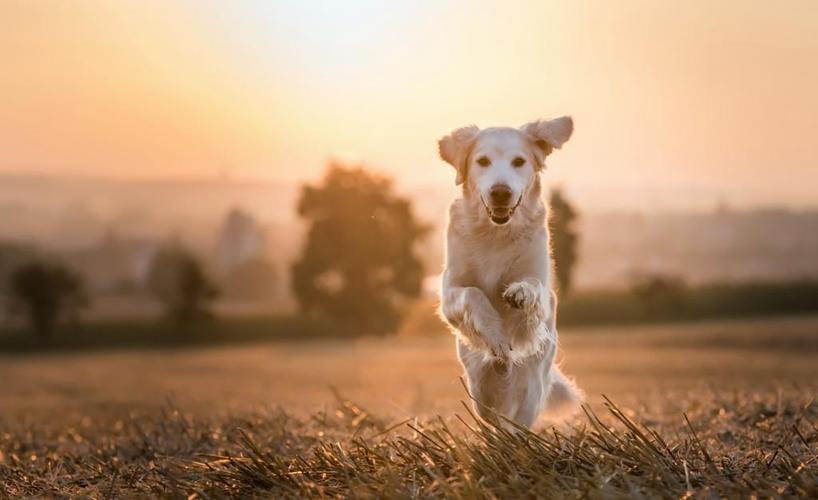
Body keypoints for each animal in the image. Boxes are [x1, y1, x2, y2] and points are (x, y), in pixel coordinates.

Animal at [440, 117, 580, 430]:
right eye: (482, 161)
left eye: (519, 161)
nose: (501, 192)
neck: (495, 233)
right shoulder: (449, 293)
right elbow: (473, 294)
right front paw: (496, 336)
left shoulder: (541, 284)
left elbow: (533, 288)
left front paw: (520, 294)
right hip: (479, 387)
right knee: (492, 418)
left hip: (533, 383)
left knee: (519, 422)